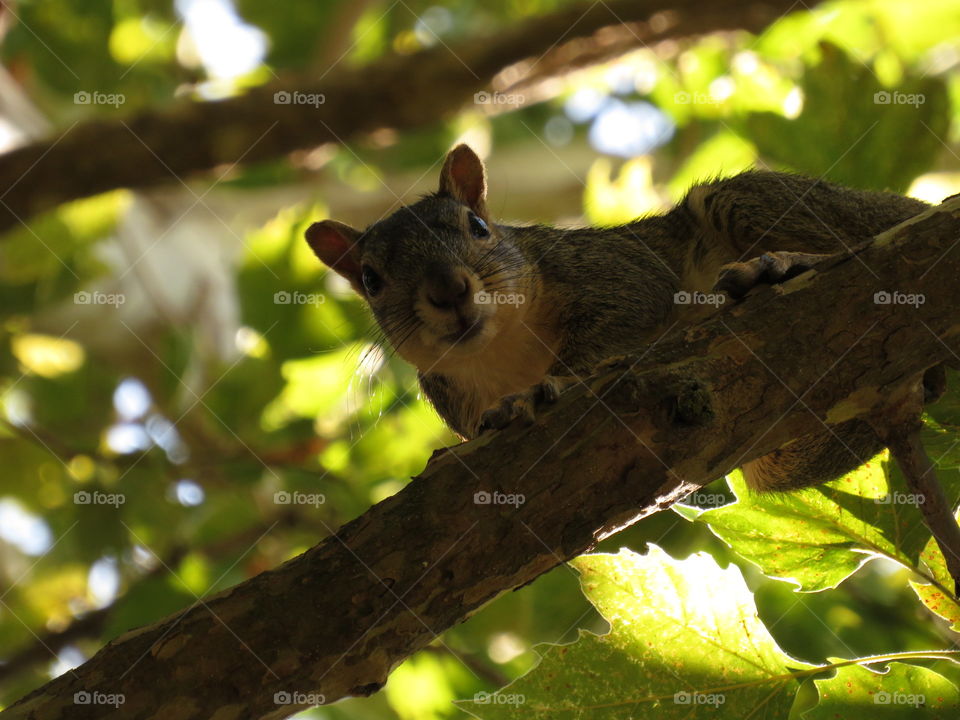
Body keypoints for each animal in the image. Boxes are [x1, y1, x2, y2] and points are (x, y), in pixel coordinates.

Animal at [306, 146, 928, 496]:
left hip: (761, 201)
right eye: (371, 279)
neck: (503, 351)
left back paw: (783, 264)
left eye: (478, 227)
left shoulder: (615, 273)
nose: (447, 289)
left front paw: (542, 388)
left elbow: (615, 326)